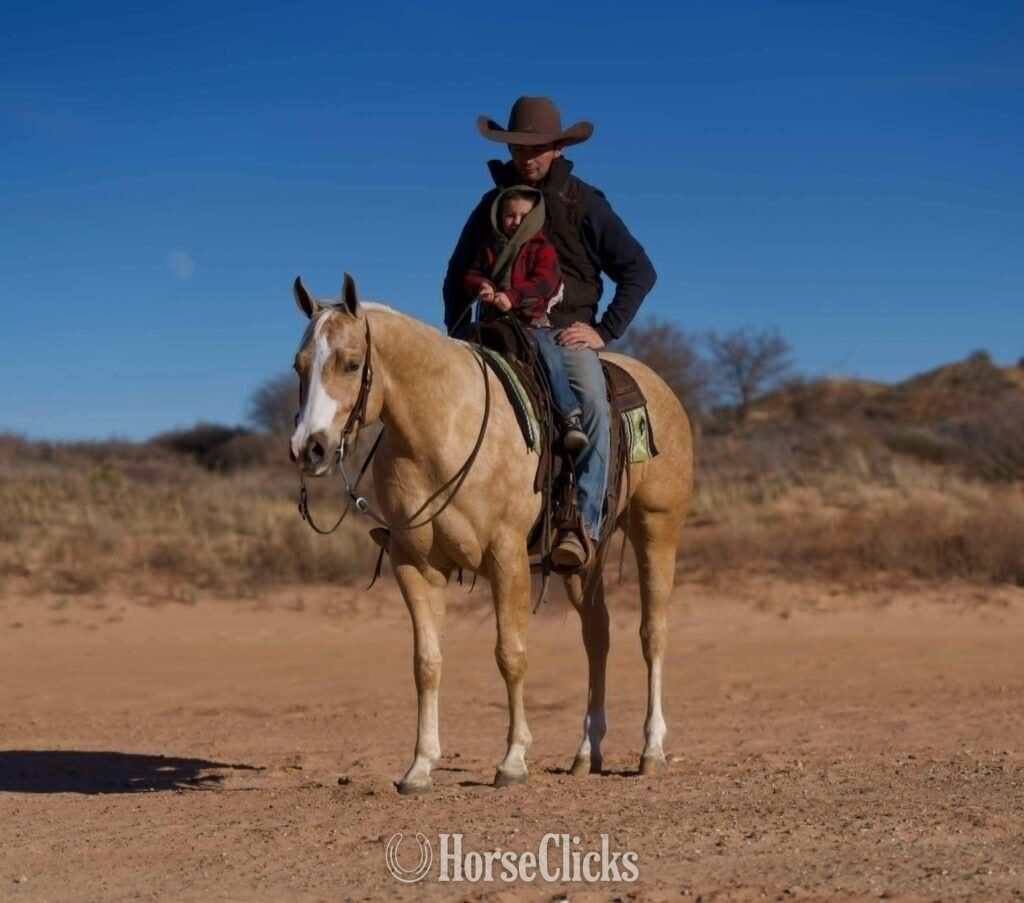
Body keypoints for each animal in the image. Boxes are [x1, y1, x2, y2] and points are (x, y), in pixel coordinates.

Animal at [289, 274, 694, 794]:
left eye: (351, 362)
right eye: (299, 365)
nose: (309, 448)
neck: (442, 427)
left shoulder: (507, 557)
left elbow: (510, 654)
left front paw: (514, 760)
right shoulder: (414, 564)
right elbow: (426, 663)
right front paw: (419, 767)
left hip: (656, 528)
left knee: (652, 633)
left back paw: (651, 750)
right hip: (586, 553)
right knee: (597, 635)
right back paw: (587, 753)